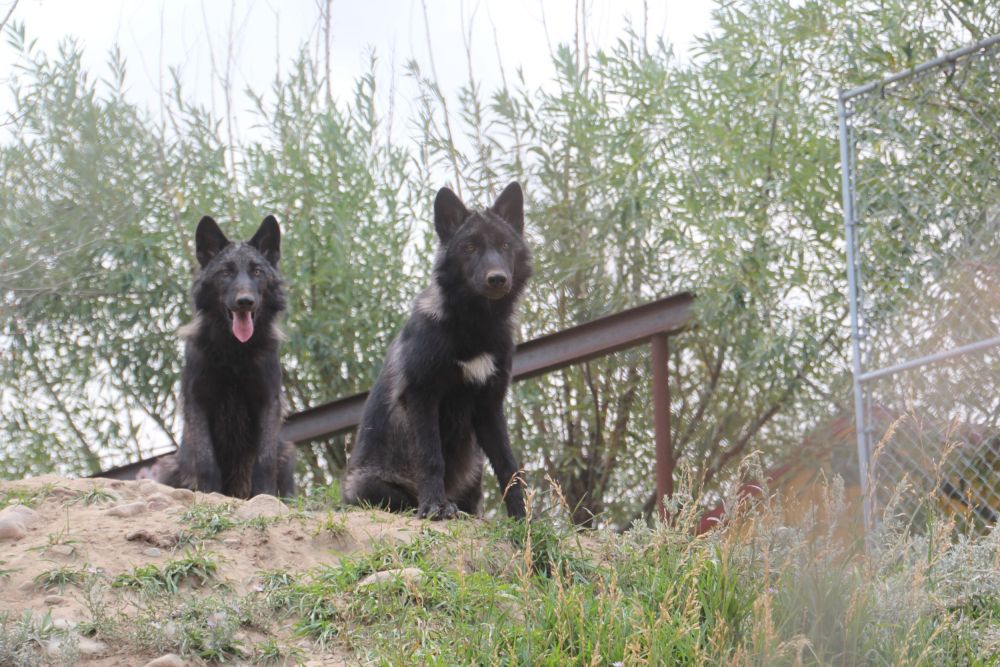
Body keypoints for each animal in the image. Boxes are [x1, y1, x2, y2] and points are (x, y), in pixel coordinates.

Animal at [146, 215, 295, 499]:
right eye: (226, 272)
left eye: (257, 272)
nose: (245, 301)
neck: (234, 352)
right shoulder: (198, 402)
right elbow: (206, 461)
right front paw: (209, 494)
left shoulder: (268, 401)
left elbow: (264, 460)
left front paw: (265, 496)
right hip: (169, 465)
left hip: (287, 451)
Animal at [343, 182, 531, 519]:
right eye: (469, 248)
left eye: (505, 245)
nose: (497, 279)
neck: (475, 327)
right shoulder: (422, 396)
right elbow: (431, 458)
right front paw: (434, 507)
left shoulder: (489, 405)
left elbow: (509, 467)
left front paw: (522, 518)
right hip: (368, 487)